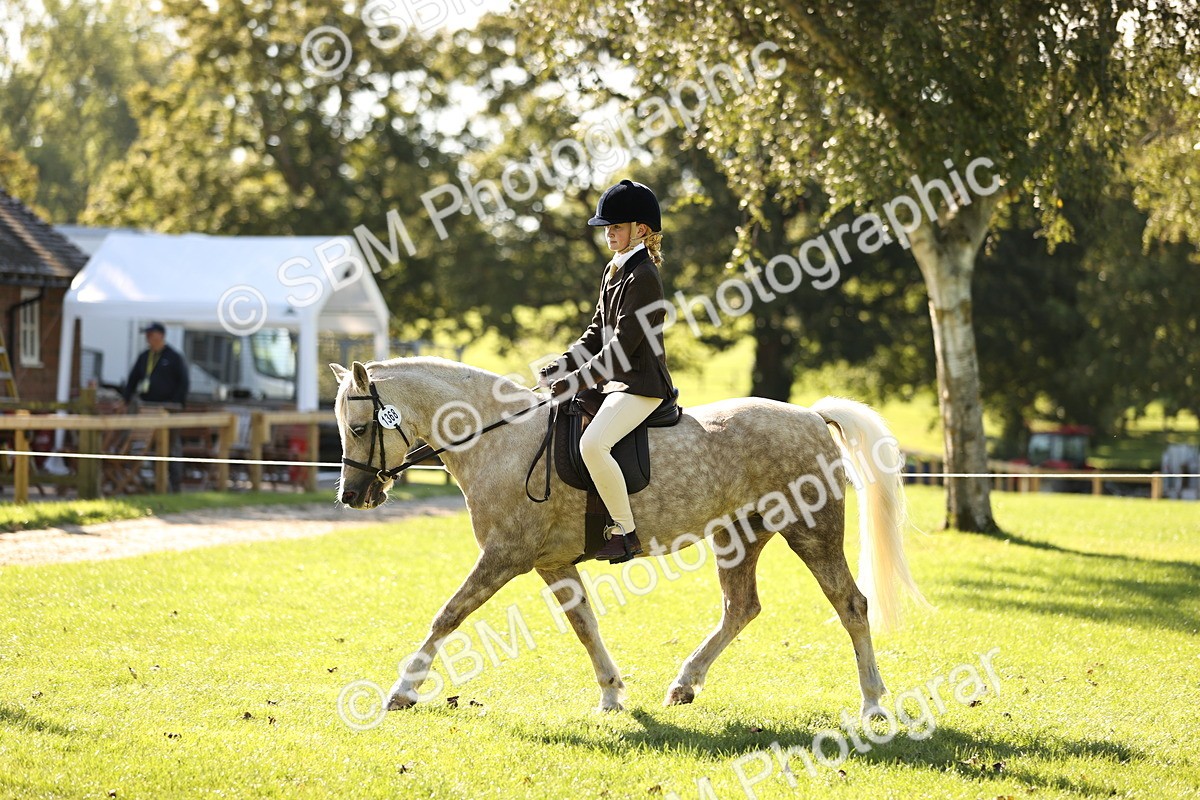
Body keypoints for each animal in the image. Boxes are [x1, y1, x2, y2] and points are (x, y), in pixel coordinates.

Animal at [330, 357, 927, 718]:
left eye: (358, 428)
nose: (352, 496)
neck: (499, 439)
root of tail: (810, 415)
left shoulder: (504, 556)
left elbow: (448, 616)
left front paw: (402, 691)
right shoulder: (551, 562)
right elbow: (584, 624)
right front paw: (612, 695)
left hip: (811, 530)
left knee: (850, 604)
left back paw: (873, 704)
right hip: (739, 536)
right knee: (742, 608)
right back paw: (684, 684)